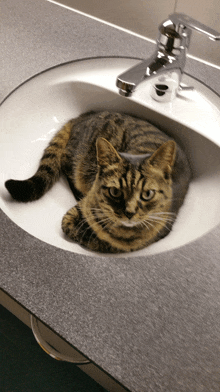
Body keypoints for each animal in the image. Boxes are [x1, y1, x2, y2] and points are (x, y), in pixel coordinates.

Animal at [5, 109, 191, 254]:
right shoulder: (83, 206)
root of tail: (84, 116)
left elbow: (98, 240)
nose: (129, 212)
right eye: (115, 191)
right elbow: (69, 223)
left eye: (147, 194)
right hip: (78, 162)